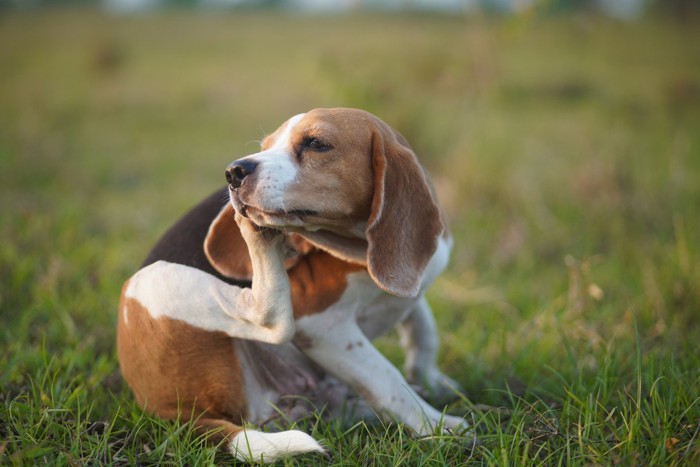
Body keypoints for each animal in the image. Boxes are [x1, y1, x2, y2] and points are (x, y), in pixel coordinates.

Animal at [117, 108, 468, 462]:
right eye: (266, 146)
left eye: (316, 143)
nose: (234, 172)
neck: (358, 245)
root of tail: (172, 413)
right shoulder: (320, 323)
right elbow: (387, 378)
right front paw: (436, 424)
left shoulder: (413, 292)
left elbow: (423, 332)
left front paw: (431, 382)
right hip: (155, 280)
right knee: (269, 320)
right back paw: (254, 232)